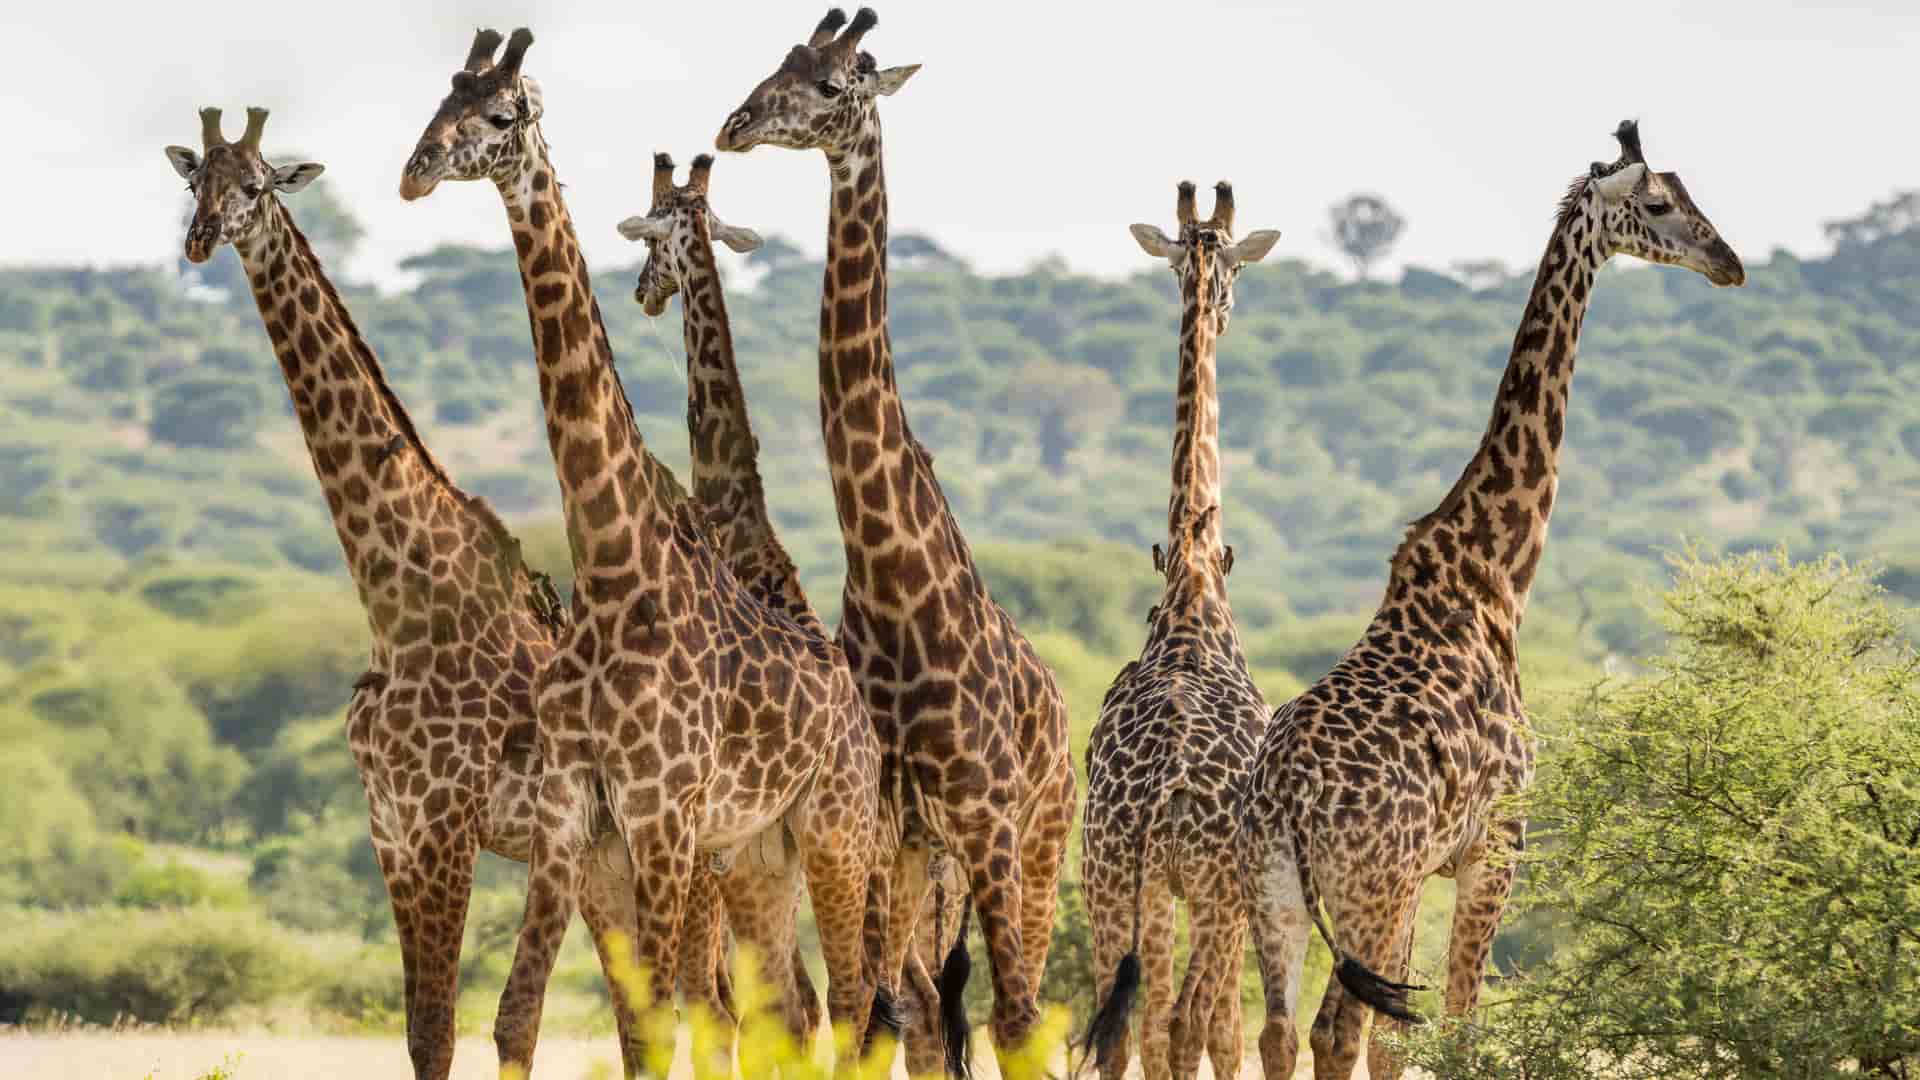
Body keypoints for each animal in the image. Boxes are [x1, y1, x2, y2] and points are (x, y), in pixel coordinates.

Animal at [163, 105, 633, 1080]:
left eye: (256, 184)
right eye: (193, 181)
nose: (200, 240)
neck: (397, 603)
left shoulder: (449, 824)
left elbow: (470, 1024)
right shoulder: (391, 830)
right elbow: (422, 1032)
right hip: (615, 868)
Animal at [716, 8, 1078, 1072]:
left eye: (837, 85)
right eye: (780, 63)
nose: (735, 124)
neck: (887, 574)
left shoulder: (985, 818)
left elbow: (1013, 1018)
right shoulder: (882, 822)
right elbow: (878, 1011)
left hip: (1039, 840)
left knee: (1020, 1006)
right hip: (922, 858)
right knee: (914, 1000)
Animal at [1235, 121, 1745, 1080]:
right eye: (1661, 204)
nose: (1728, 262)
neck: (1495, 577)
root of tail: (1287, 802)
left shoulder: (1441, 865)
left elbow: (1404, 1040)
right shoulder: (1494, 848)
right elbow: (1459, 1028)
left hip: (1276, 891)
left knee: (1282, 1032)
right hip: (1371, 886)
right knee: (1334, 1031)